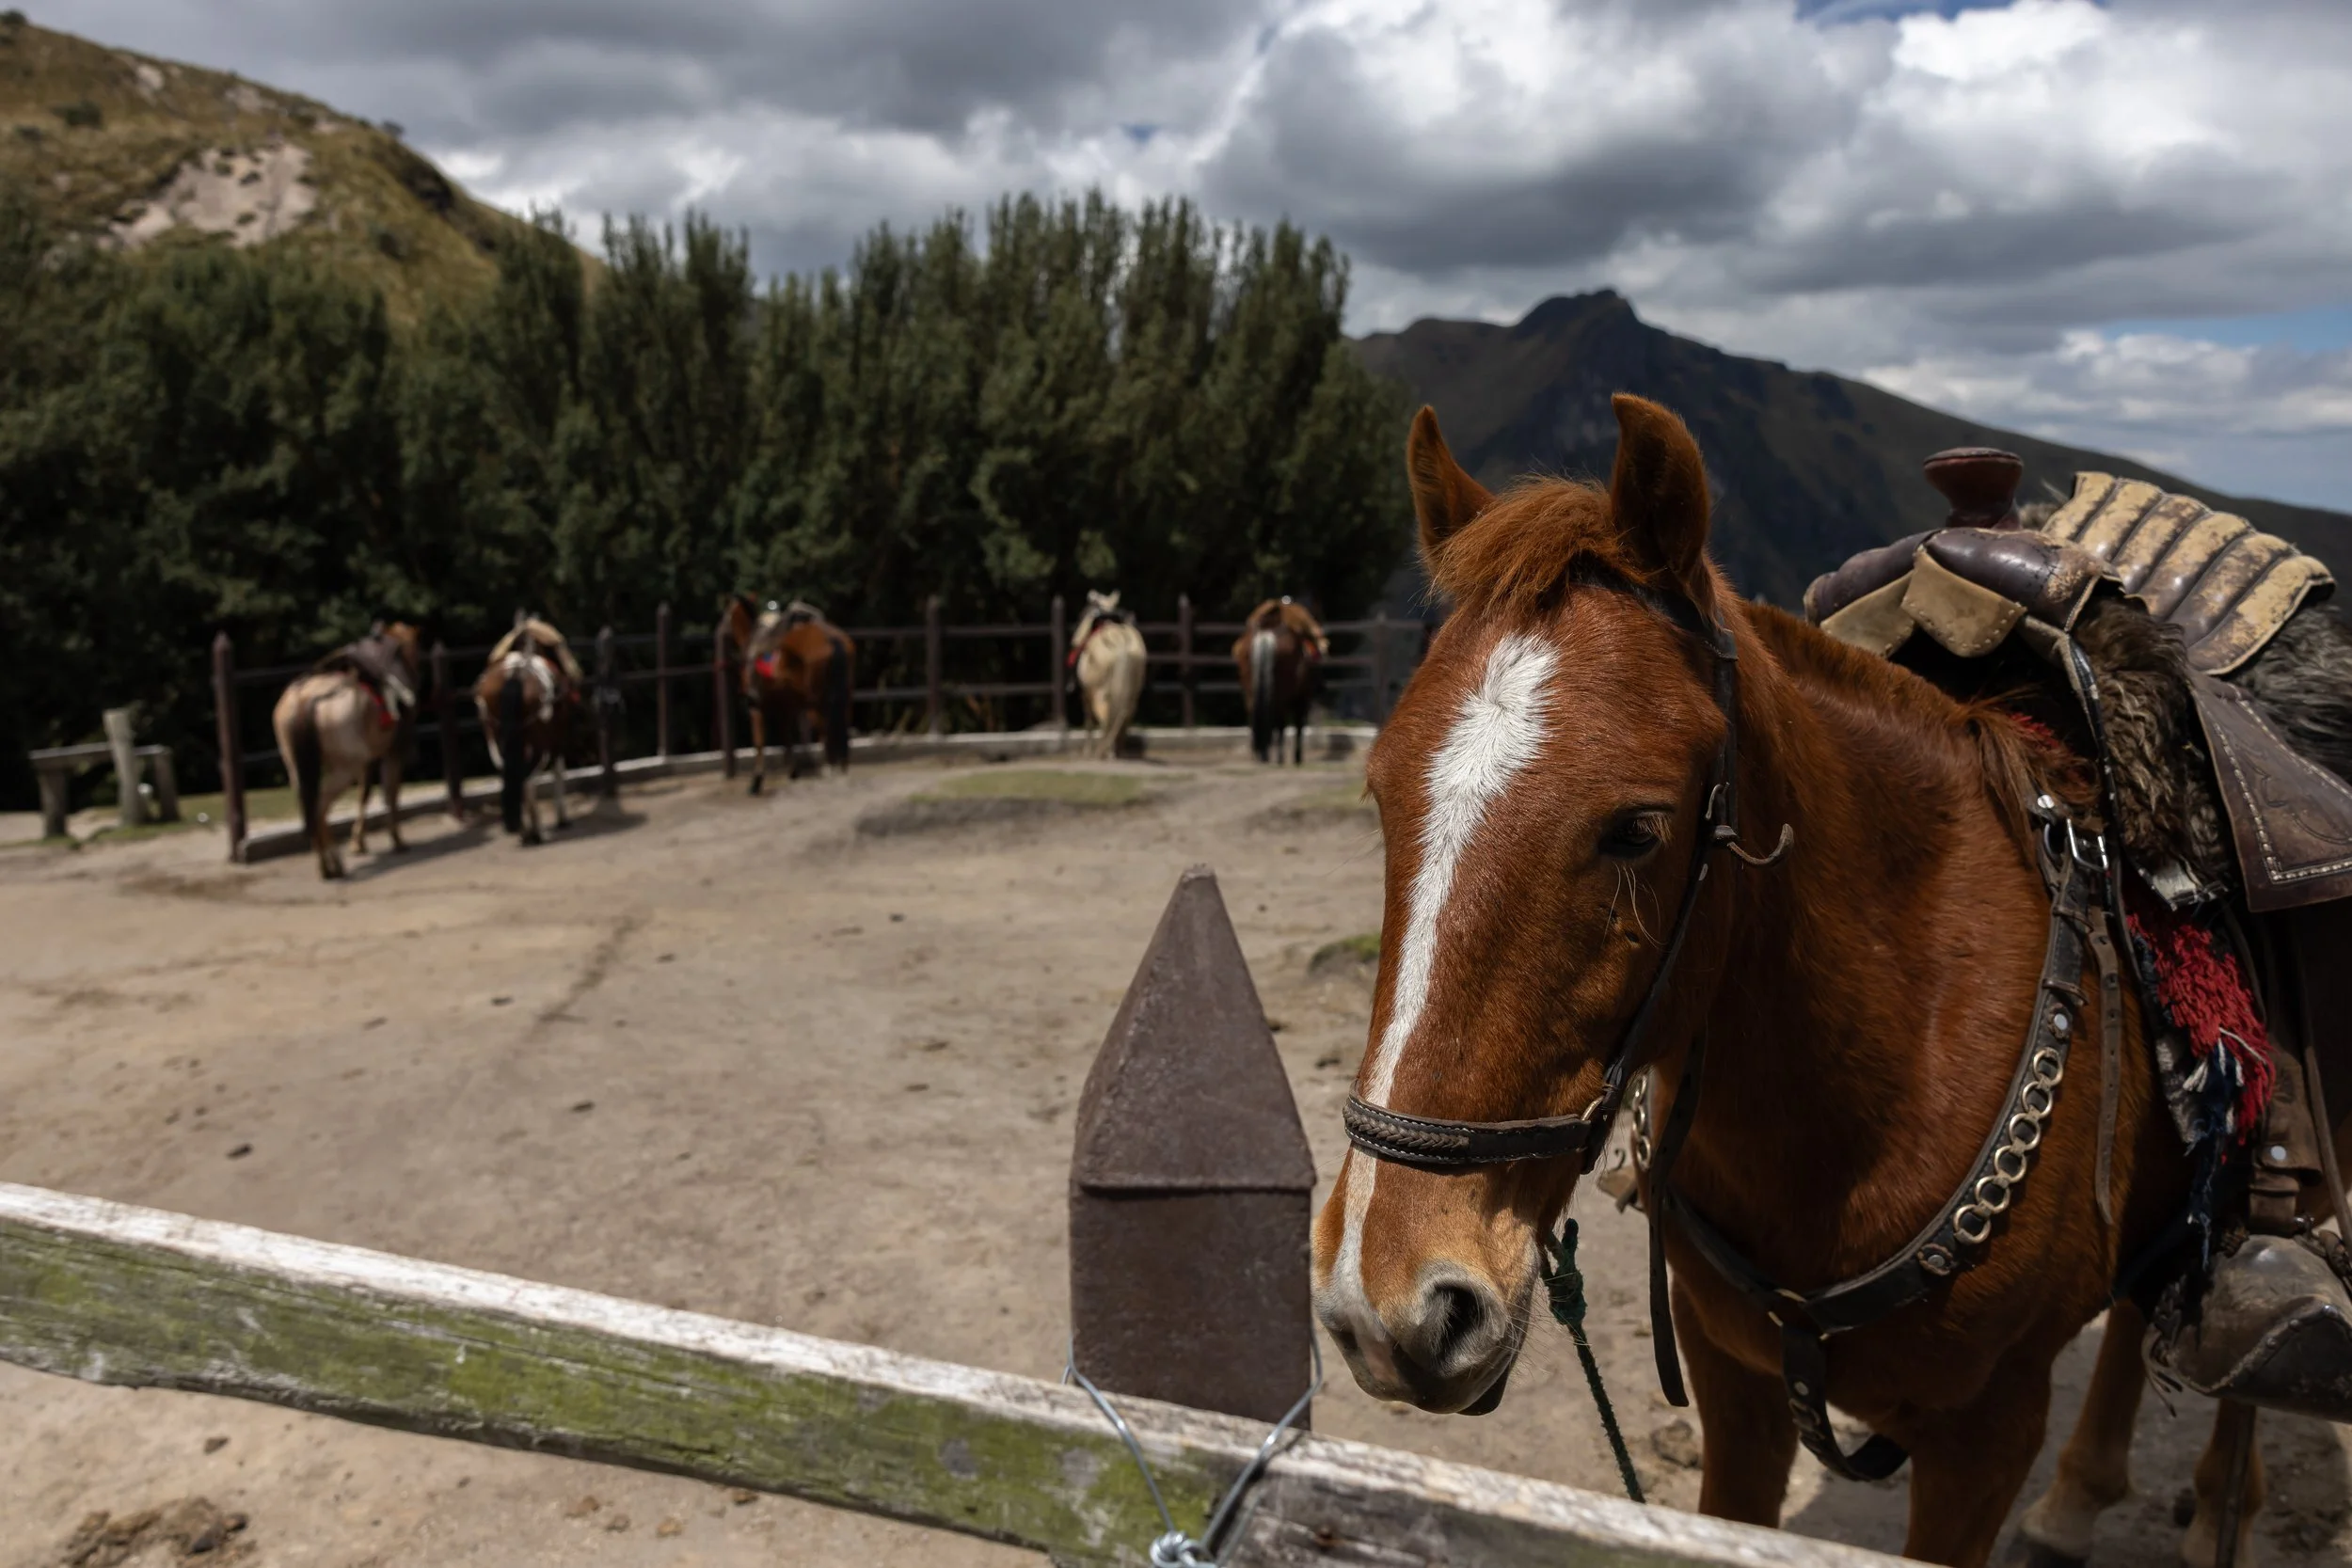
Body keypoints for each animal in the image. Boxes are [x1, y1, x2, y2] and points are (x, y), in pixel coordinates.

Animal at [271, 621, 421, 880]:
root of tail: (304, 700)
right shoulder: (392, 753)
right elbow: (389, 794)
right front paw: (396, 840)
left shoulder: (367, 760)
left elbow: (364, 794)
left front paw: (358, 842)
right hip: (345, 768)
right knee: (319, 806)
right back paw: (332, 861)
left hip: (298, 768)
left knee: (310, 805)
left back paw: (325, 862)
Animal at [473, 615, 581, 846]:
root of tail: (516, 673)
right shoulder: (558, 738)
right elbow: (559, 770)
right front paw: (562, 818)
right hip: (540, 743)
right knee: (528, 777)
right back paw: (536, 831)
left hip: (496, 739)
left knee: (512, 775)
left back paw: (524, 829)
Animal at [720, 595, 853, 793]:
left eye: (727, 614)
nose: (721, 631)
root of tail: (831, 638)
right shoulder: (786, 706)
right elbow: (787, 738)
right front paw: (792, 771)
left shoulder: (758, 707)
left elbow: (760, 740)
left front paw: (757, 779)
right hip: (843, 697)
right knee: (840, 727)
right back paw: (839, 768)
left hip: (818, 702)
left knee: (826, 730)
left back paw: (830, 769)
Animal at [1069, 590, 1146, 760]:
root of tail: (1122, 644)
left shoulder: (1085, 694)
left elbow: (1089, 723)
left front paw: (1087, 751)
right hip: (1132, 692)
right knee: (1125, 715)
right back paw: (1118, 750)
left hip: (1100, 692)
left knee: (1106, 718)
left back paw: (1105, 751)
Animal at [1233, 597, 1325, 764]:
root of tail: (1266, 632)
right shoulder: (1302, 697)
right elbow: (1298, 725)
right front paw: (1297, 756)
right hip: (1284, 691)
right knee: (1281, 720)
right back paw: (1279, 756)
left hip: (1251, 688)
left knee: (1254, 714)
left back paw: (1259, 753)